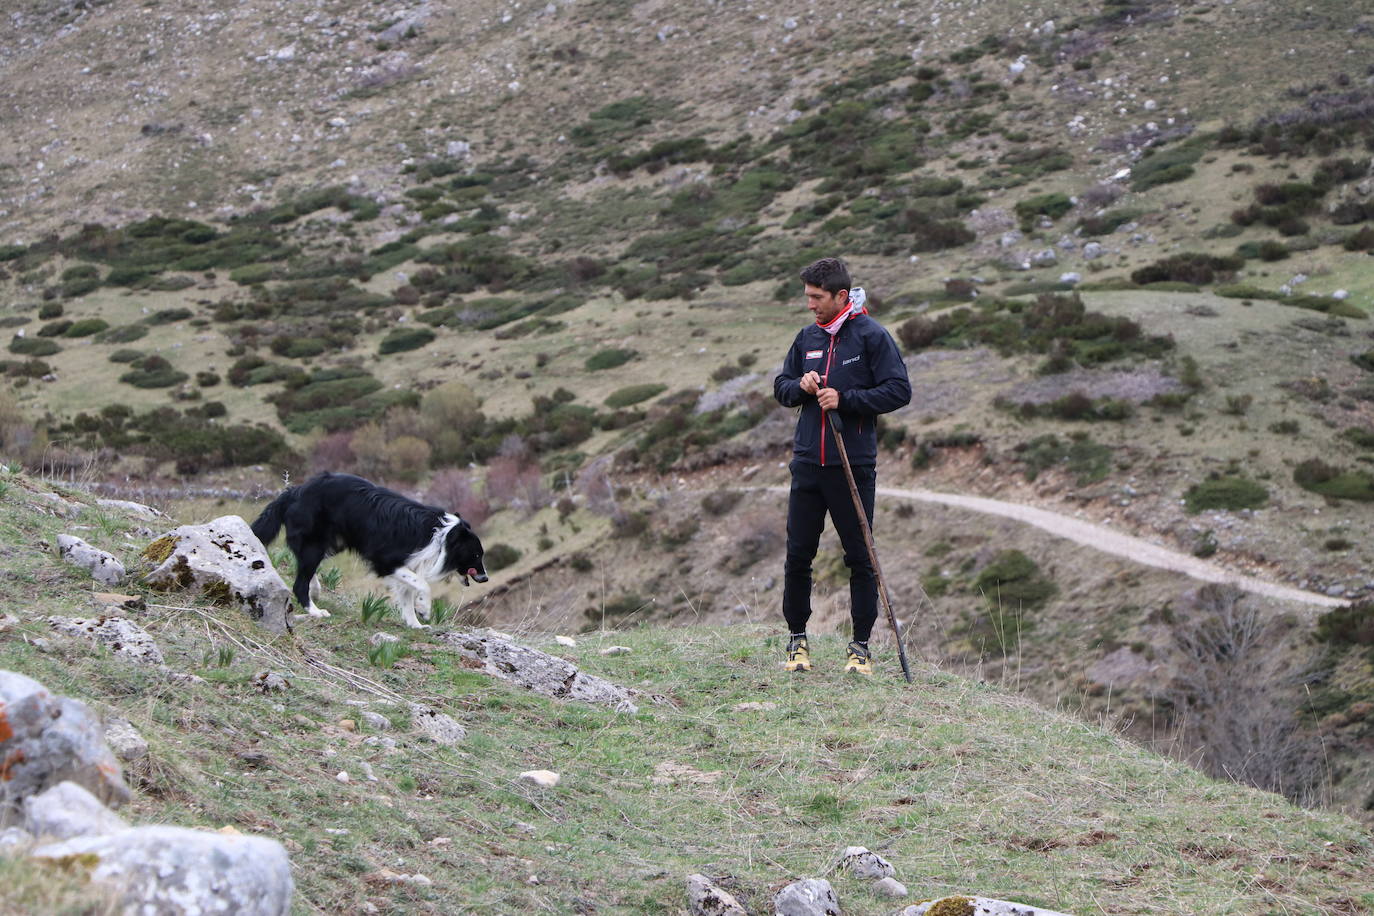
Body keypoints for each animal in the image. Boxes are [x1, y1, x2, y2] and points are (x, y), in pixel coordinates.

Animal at [252, 472, 489, 631]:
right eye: (476, 555)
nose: (485, 578)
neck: (443, 536)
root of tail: (294, 492)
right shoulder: (387, 561)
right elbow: (421, 584)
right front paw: (424, 609)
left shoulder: (409, 564)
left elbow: (408, 593)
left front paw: (415, 624)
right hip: (315, 543)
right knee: (299, 581)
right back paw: (315, 611)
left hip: (331, 543)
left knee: (304, 567)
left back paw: (316, 590)